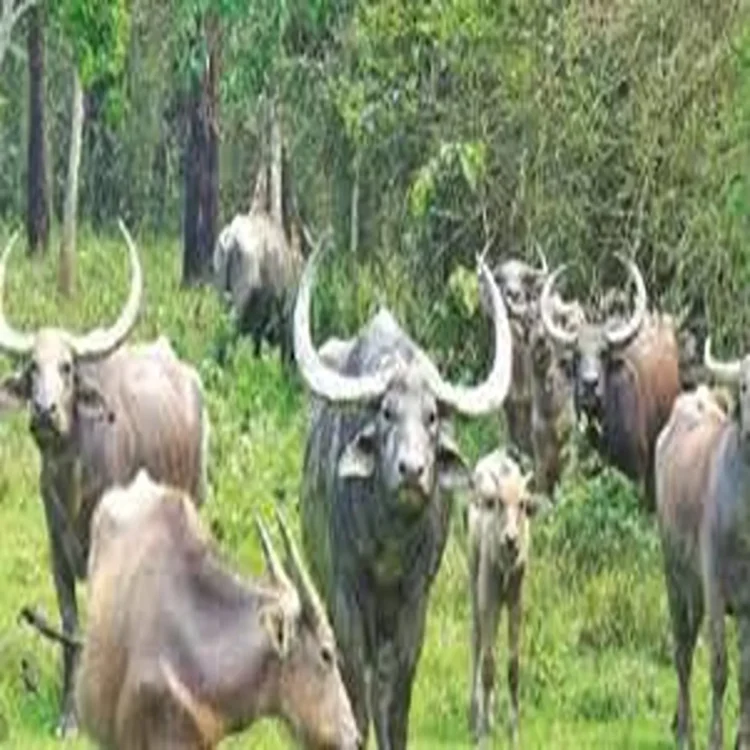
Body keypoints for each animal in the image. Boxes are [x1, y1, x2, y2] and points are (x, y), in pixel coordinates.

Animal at [0, 222, 209, 736]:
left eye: (68, 368)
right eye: (32, 367)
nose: (44, 412)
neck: (75, 483)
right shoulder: (56, 550)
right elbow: (70, 627)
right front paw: (67, 716)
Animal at [293, 244, 513, 749]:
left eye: (432, 416)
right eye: (387, 413)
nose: (412, 471)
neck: (388, 540)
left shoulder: (415, 595)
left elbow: (397, 689)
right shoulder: (345, 588)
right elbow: (354, 676)